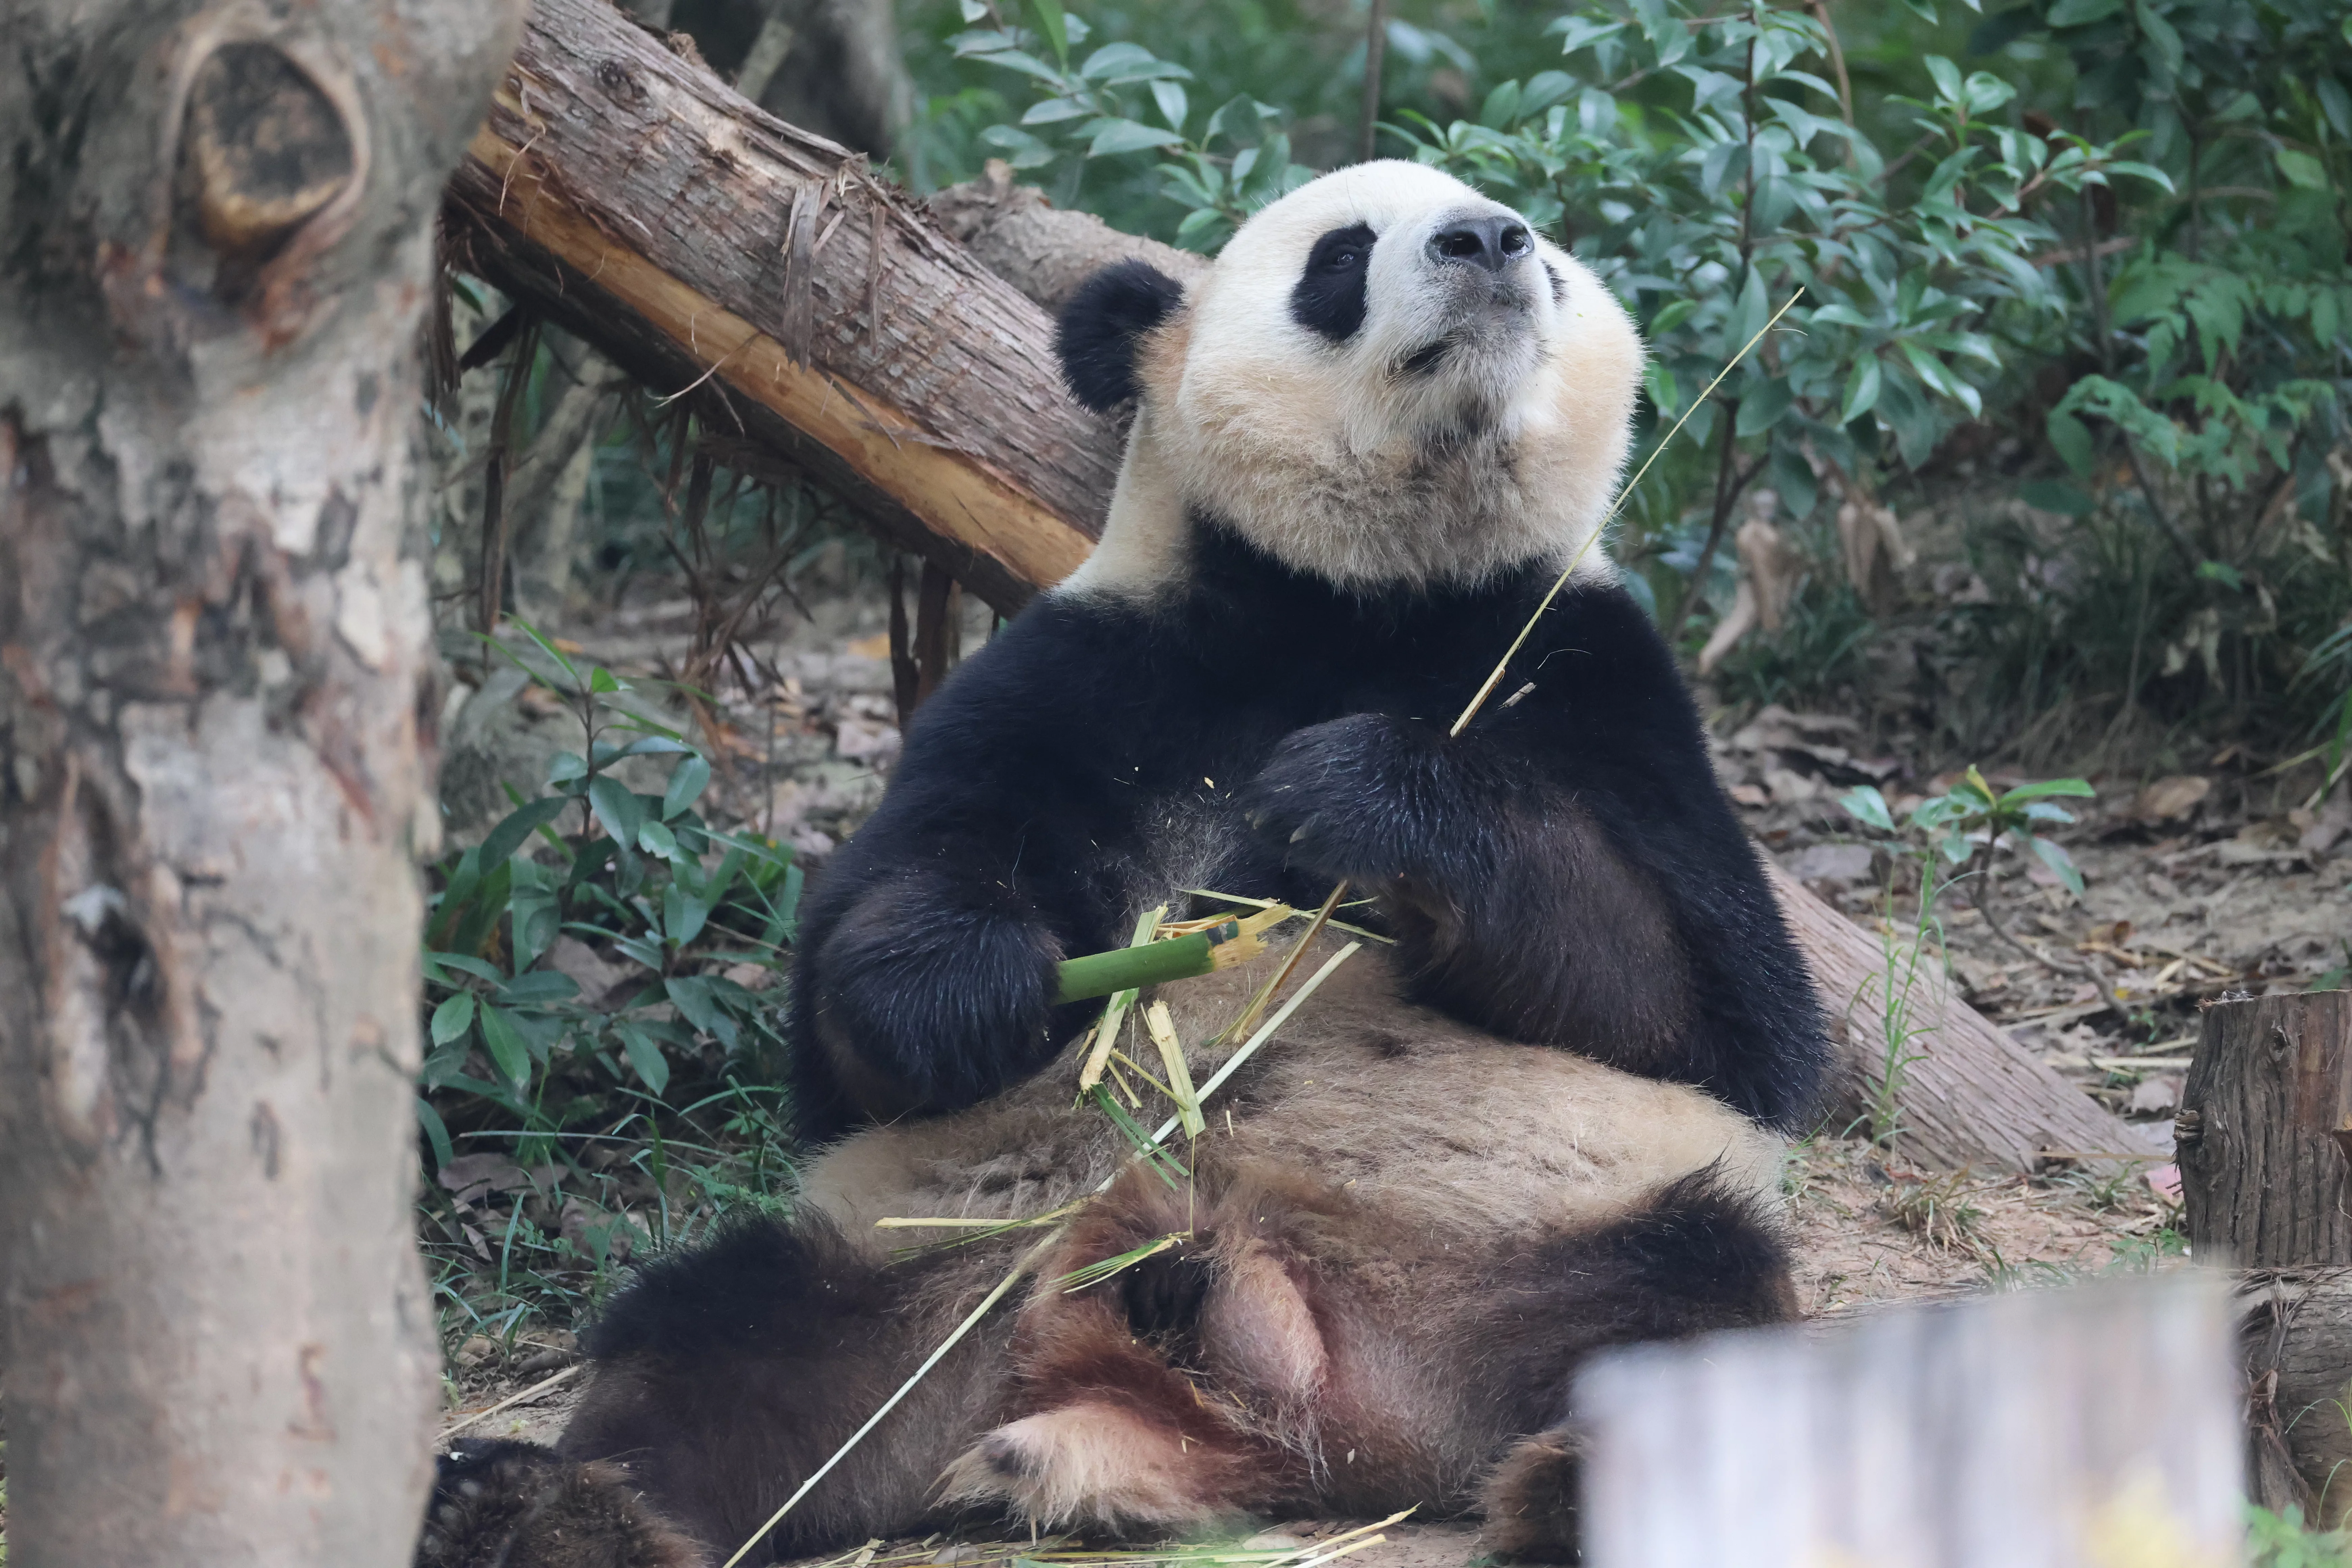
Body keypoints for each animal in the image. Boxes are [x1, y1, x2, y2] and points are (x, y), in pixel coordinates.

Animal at [418, 161, 1825, 1568]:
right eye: (1339, 257)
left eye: (1551, 263)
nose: (1487, 241)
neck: (1363, 602)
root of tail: (1288, 1403)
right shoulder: (1087, 666)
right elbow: (858, 998)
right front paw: (980, 984)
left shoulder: (1597, 673)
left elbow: (1724, 1013)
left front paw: (1365, 800)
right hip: (928, 1273)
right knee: (717, 1341)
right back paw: (546, 1512)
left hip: (1551, 1238)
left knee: (1695, 1320)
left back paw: (1589, 1489)